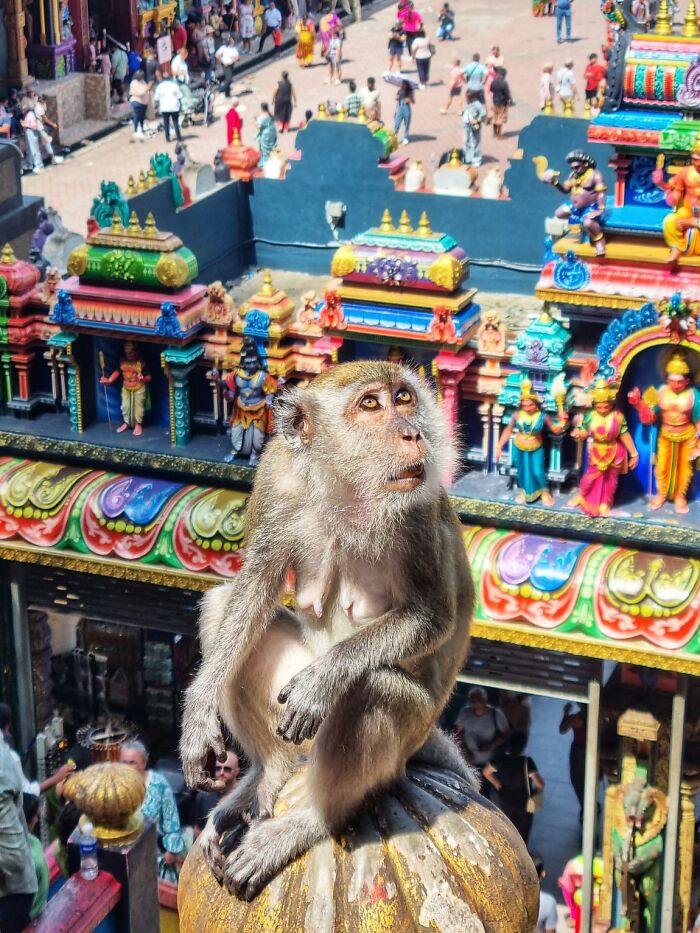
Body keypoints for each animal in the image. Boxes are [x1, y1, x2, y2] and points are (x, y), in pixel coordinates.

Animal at [180, 360, 477, 900]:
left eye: (404, 398)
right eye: (371, 404)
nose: (413, 434)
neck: (346, 484)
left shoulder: (418, 504)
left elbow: (432, 617)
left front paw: (324, 680)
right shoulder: (277, 475)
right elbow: (253, 588)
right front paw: (197, 713)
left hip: (406, 733)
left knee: (371, 689)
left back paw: (313, 819)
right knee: (220, 606)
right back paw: (266, 775)